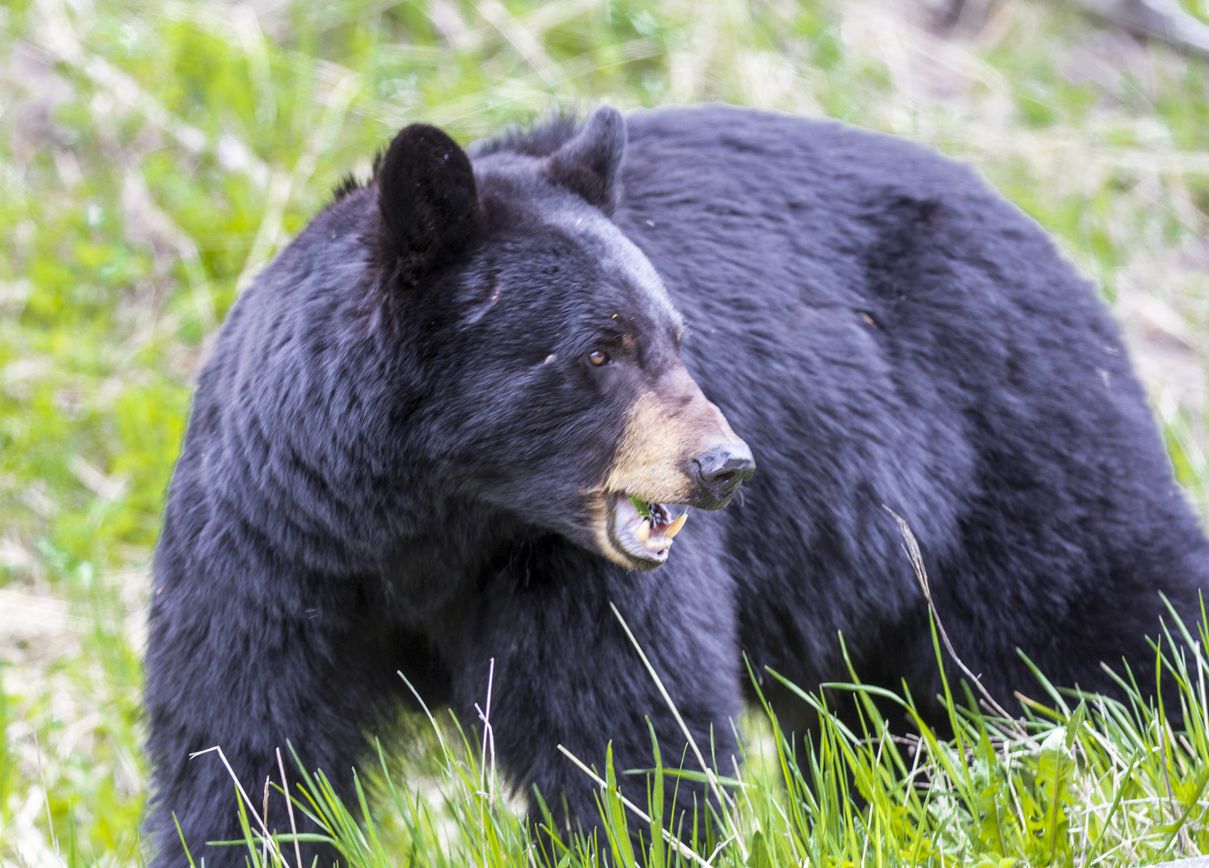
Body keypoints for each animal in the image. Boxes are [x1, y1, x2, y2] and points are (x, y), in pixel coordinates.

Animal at [146, 105, 1209, 865]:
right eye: (598, 349)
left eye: (677, 336)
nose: (724, 466)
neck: (434, 522)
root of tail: (1035, 226)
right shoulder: (270, 552)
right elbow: (243, 751)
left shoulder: (572, 577)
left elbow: (626, 740)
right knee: (883, 716)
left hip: (1011, 442)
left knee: (1112, 613)